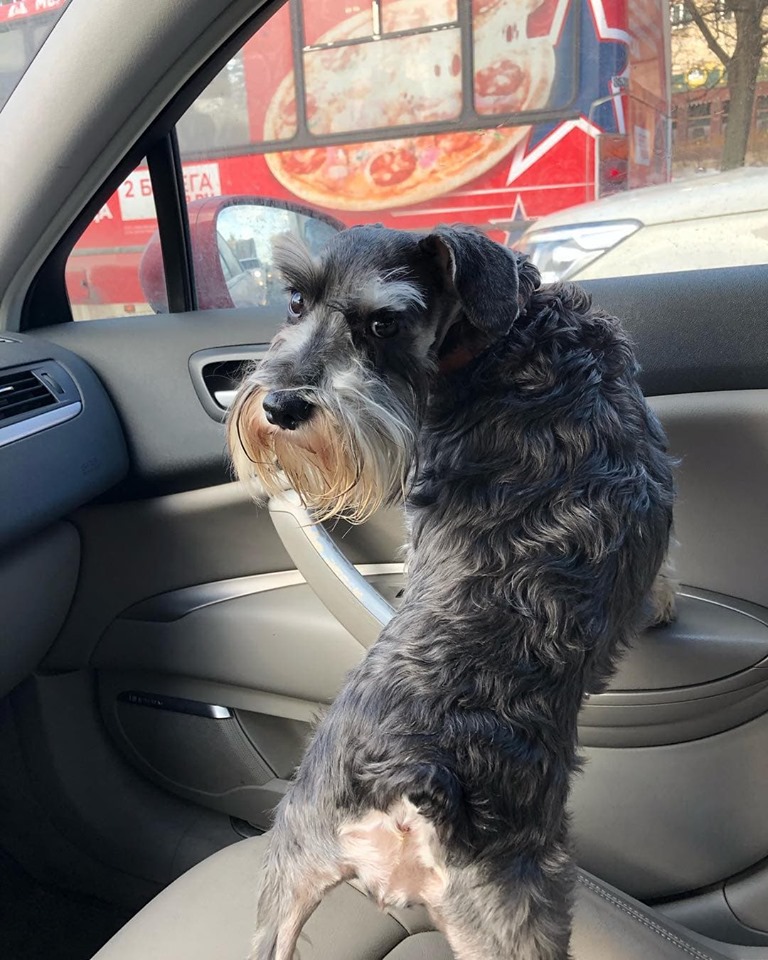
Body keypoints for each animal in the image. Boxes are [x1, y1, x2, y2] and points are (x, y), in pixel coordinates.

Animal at [226, 227, 672, 960]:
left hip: (291, 864)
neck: (511, 331)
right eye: (294, 299)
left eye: (384, 323)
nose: (281, 406)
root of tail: (410, 783)